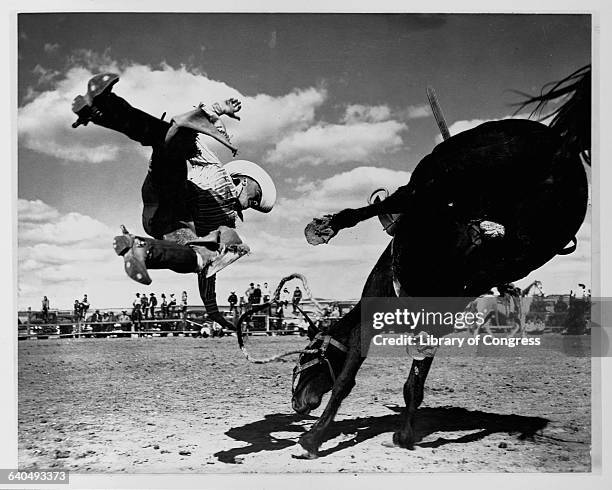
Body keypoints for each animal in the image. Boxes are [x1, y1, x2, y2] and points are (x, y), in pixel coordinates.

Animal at [284, 66, 592, 460]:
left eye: (307, 354)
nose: (297, 403)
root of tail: (558, 143)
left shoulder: (370, 317)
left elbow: (348, 381)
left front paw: (314, 438)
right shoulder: (432, 328)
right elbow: (412, 386)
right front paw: (404, 435)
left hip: (441, 171)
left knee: (405, 199)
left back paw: (329, 226)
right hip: (536, 234)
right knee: (489, 247)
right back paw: (479, 238)